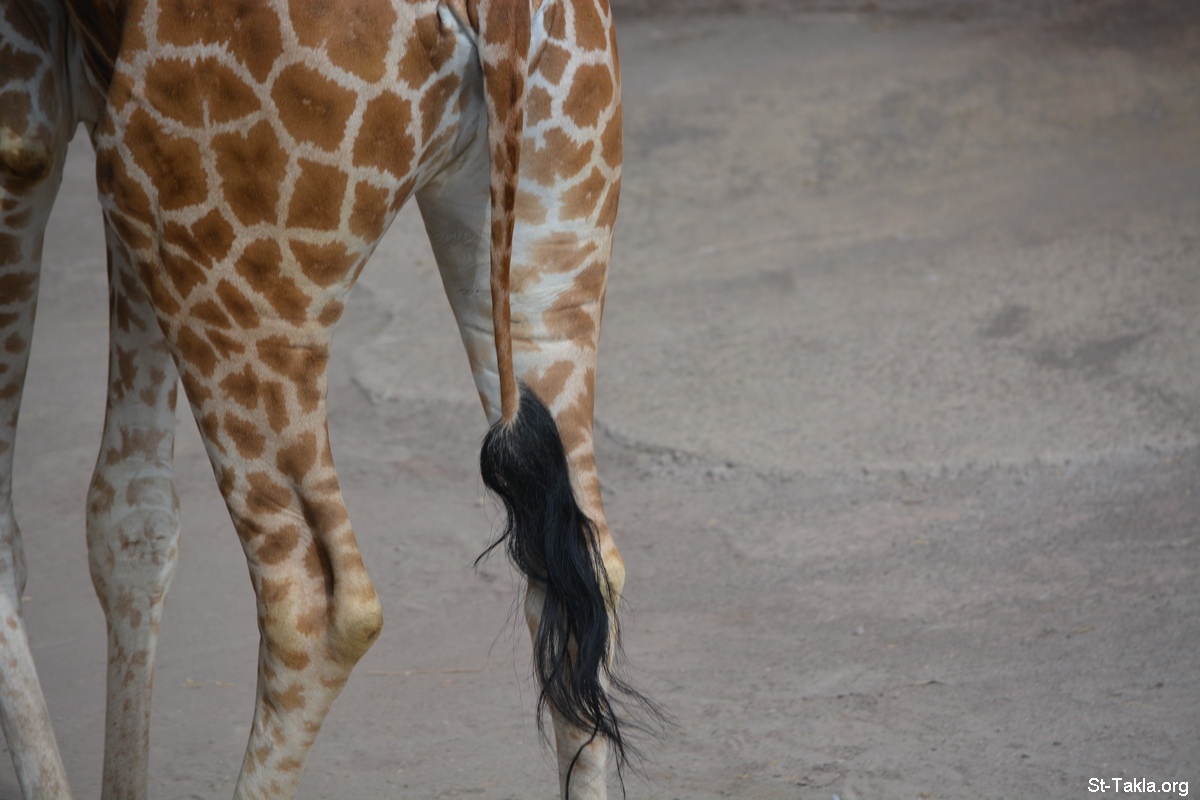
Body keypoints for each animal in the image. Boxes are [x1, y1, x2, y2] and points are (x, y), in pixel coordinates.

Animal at [0, 1, 652, 798]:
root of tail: (501, 15)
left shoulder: (25, 116)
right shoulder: (91, 92)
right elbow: (131, 513)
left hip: (198, 230)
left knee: (319, 607)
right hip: (551, 253)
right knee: (579, 574)